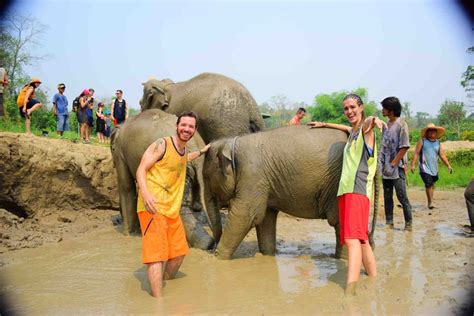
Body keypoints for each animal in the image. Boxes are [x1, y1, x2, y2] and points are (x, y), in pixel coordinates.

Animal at [202, 124, 380, 260]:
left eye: (206, 177)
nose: (210, 249)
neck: (232, 142)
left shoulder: (252, 174)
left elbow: (246, 215)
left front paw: (217, 259)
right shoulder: (263, 182)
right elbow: (265, 218)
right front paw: (267, 255)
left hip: (343, 182)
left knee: (341, 222)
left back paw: (342, 260)